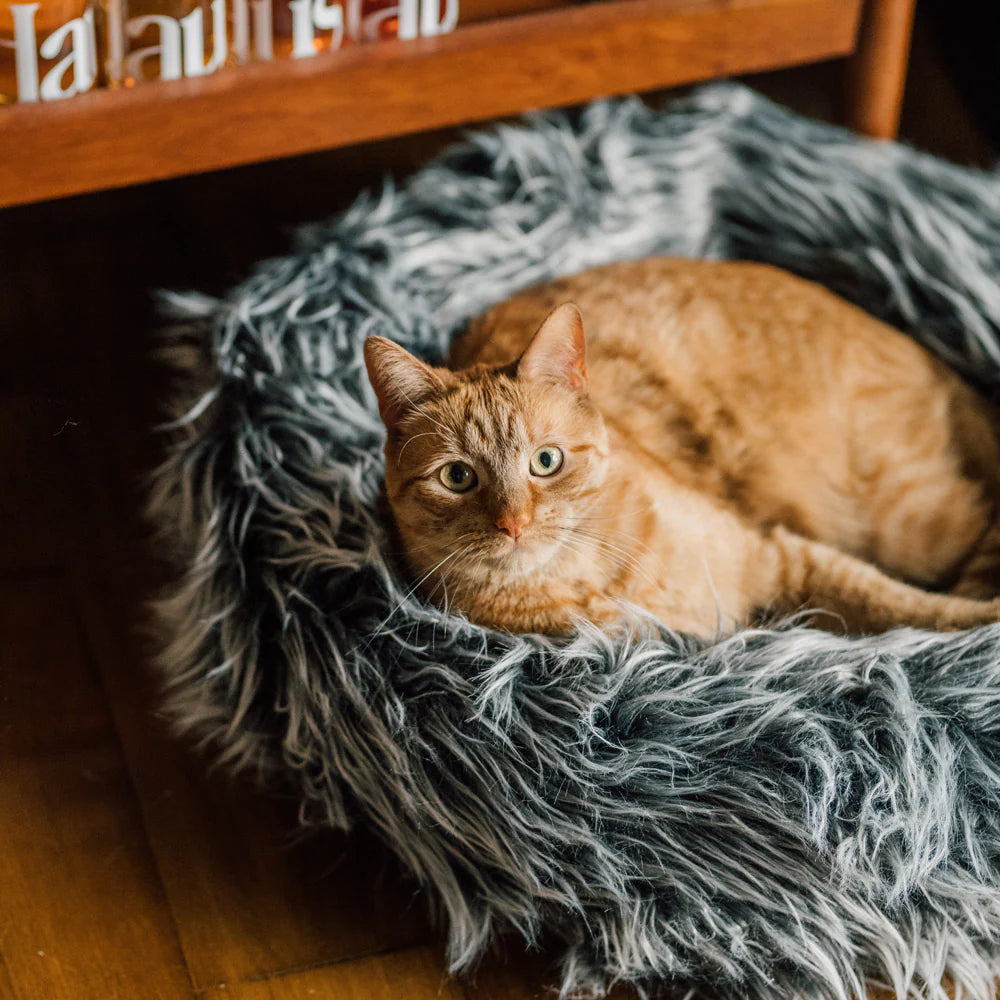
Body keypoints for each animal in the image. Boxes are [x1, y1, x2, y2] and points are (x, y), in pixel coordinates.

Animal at [364, 256, 1000, 632]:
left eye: (546, 462)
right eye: (457, 477)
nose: (514, 524)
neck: (597, 583)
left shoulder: (778, 555)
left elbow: (900, 604)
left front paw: (976, 623)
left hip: (910, 524)